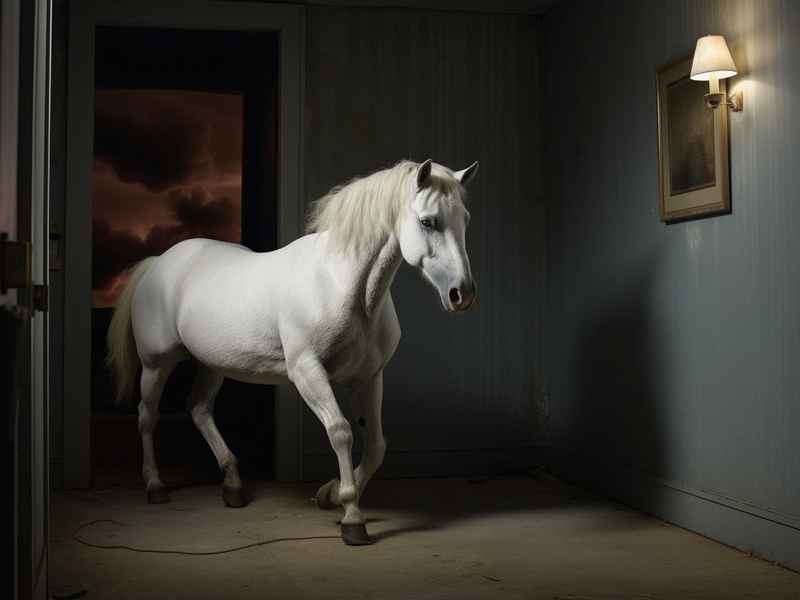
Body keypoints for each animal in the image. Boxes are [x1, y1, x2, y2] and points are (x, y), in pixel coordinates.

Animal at [106, 158, 479, 545]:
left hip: (211, 364)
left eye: (465, 219)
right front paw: (351, 516)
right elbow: (341, 431)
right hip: (155, 364)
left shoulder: (368, 377)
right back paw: (155, 485)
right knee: (147, 416)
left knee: (199, 410)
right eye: (428, 221)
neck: (343, 286)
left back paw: (233, 483)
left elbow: (376, 445)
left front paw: (330, 494)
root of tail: (157, 262)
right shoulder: (307, 372)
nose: (462, 294)